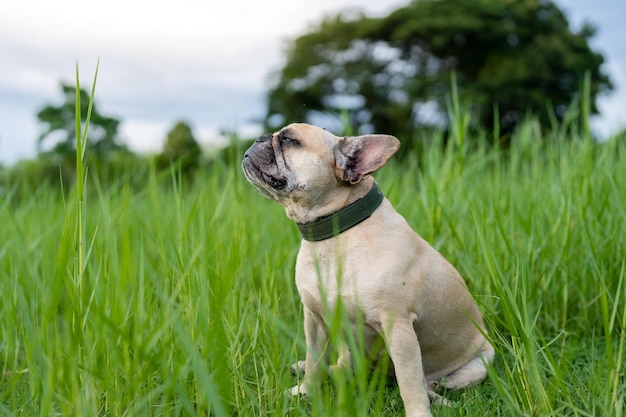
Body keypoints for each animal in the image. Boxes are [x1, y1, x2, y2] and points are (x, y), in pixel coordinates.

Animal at [241, 123, 490, 416]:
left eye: (290, 139)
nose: (260, 137)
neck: (334, 234)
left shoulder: (398, 328)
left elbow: (410, 382)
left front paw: (418, 412)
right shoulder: (314, 321)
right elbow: (315, 361)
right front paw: (304, 392)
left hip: (479, 363)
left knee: (432, 382)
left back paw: (438, 395)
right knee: (335, 366)